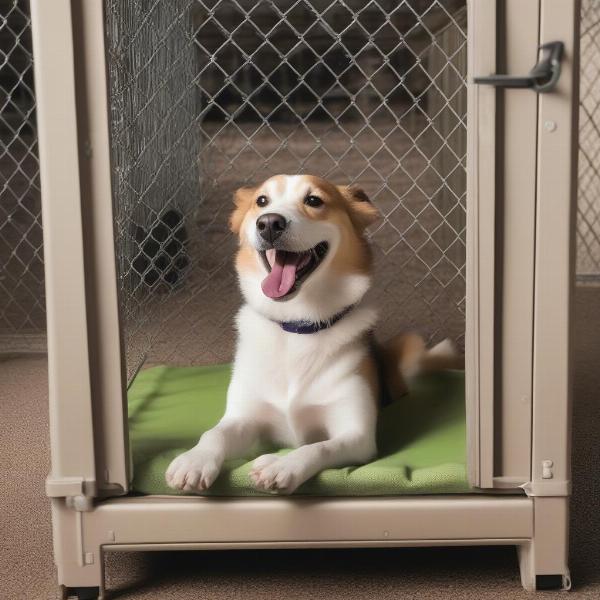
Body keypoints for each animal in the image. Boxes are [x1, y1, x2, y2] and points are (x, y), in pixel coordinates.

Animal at [164, 172, 460, 492]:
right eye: (261, 201)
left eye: (314, 200)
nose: (269, 223)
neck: (298, 326)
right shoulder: (244, 417)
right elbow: (214, 433)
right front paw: (194, 460)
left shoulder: (356, 435)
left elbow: (318, 447)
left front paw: (280, 464)